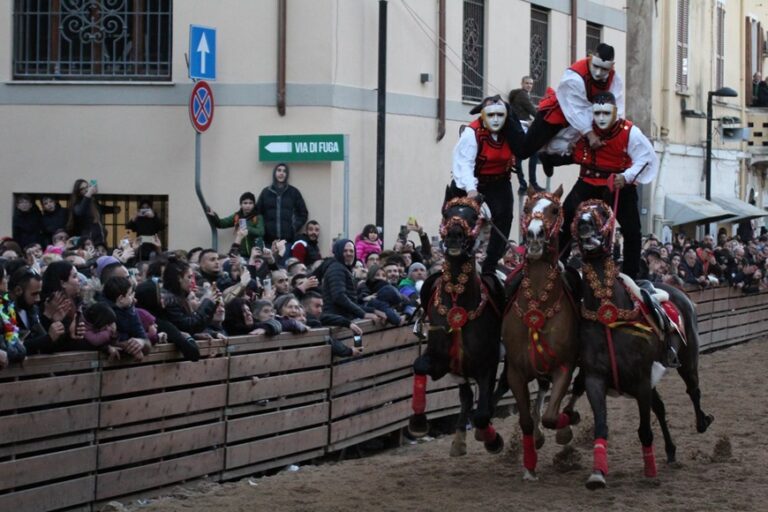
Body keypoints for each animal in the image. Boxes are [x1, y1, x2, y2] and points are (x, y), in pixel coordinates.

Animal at [404, 196, 508, 456]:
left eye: (474, 216)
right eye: (446, 213)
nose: (453, 236)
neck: (457, 303)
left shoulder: (488, 364)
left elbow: (482, 412)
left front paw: (492, 439)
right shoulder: (441, 361)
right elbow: (419, 365)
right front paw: (418, 423)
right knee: (466, 396)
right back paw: (459, 439)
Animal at [500, 187, 580, 480]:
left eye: (555, 210)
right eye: (526, 209)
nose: (535, 234)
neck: (539, 305)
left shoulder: (564, 366)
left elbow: (552, 416)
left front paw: (566, 427)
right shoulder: (515, 371)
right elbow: (525, 419)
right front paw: (529, 467)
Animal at [568, 199, 712, 488]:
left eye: (601, 212)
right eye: (579, 212)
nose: (585, 224)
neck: (608, 313)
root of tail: (680, 292)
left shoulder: (642, 381)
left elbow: (645, 430)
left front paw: (650, 471)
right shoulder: (596, 379)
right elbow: (602, 424)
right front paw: (597, 473)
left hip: (687, 359)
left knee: (693, 389)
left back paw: (702, 421)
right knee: (661, 407)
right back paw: (670, 450)